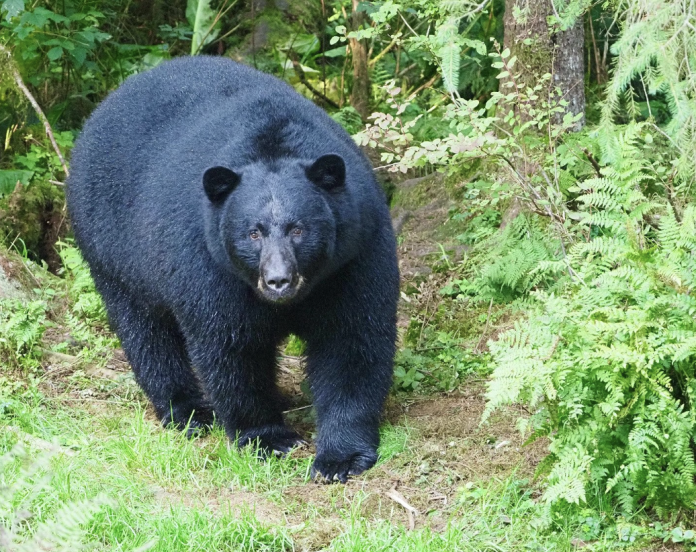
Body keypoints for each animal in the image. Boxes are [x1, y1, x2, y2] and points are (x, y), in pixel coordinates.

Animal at [66, 56, 399, 482]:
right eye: (253, 233)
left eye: (298, 229)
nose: (278, 281)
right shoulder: (208, 265)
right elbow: (231, 347)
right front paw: (268, 438)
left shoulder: (354, 256)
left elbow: (351, 339)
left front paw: (341, 456)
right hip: (112, 250)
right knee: (146, 333)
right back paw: (188, 412)